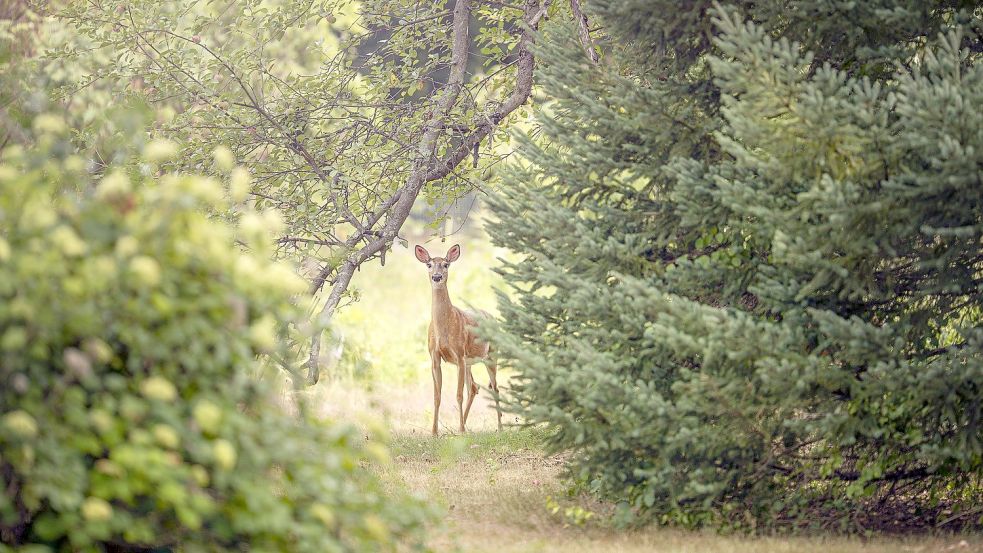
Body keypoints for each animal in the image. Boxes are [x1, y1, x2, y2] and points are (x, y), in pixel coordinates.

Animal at [416, 244, 504, 434]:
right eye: (429, 264)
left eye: (446, 264)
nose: (437, 277)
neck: (443, 329)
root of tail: (492, 317)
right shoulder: (434, 357)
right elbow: (437, 396)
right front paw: (434, 432)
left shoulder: (459, 355)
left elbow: (458, 395)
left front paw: (461, 431)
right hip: (471, 361)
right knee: (474, 387)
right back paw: (464, 424)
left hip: (491, 355)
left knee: (494, 388)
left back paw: (499, 427)